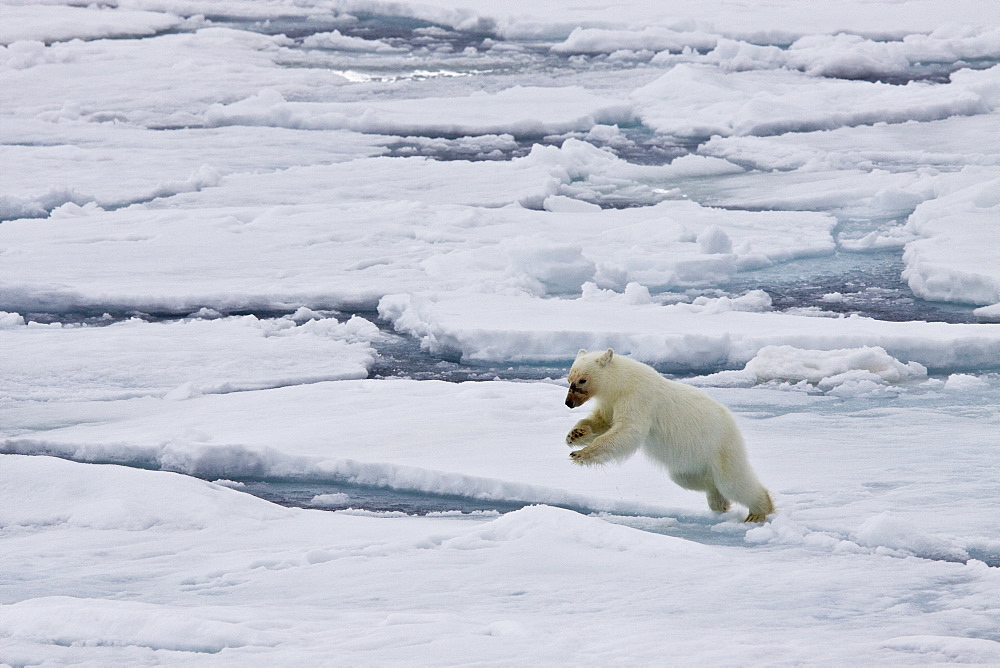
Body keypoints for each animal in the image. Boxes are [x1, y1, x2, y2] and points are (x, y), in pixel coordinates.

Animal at [564, 350, 772, 520]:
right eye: (569, 379)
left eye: (582, 380)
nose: (568, 403)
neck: (623, 382)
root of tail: (733, 424)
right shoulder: (610, 401)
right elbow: (602, 421)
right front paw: (575, 434)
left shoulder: (638, 399)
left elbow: (628, 430)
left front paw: (580, 454)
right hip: (691, 460)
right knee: (691, 478)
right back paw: (719, 501)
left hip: (721, 446)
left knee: (733, 482)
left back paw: (758, 512)